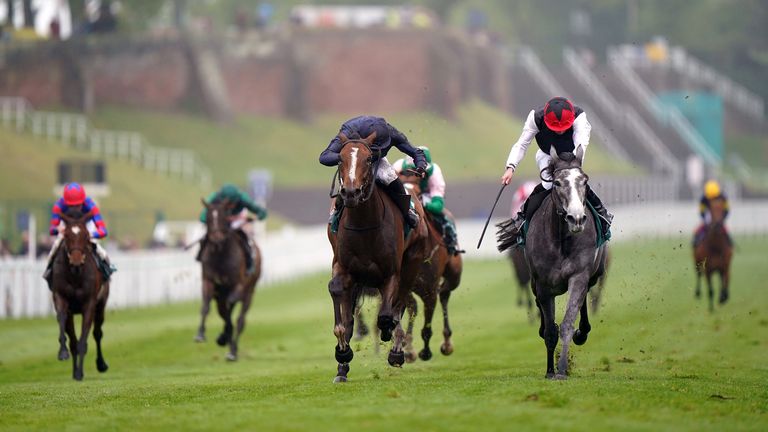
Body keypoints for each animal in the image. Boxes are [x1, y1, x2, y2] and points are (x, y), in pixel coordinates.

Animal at [50, 209, 109, 382]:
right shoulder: (61, 298)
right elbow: (62, 320)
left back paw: (100, 364)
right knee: (74, 340)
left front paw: (80, 372)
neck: (75, 275)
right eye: (66, 235)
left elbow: (84, 340)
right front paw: (63, 353)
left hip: (101, 304)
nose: (76, 261)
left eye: (86, 235)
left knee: (97, 333)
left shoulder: (89, 304)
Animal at [195, 199, 260, 362]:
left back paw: (233, 351)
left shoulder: (238, 285)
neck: (221, 255)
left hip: (249, 292)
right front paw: (201, 334)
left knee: (240, 320)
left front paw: (225, 338)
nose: (216, 238)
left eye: (224, 217)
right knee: (225, 313)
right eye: (209, 218)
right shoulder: (208, 281)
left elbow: (230, 310)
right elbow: (206, 306)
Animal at [328, 132, 428, 382]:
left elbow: (386, 315)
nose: (350, 192)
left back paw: (397, 350)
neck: (364, 224)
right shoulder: (344, 268)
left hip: (411, 264)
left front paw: (392, 343)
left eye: (368, 159)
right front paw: (342, 354)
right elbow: (343, 314)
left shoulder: (391, 273)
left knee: (400, 305)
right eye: (340, 159)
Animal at [400, 171, 464, 362]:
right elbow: (412, 307)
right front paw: (408, 349)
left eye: (417, 194)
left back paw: (447, 343)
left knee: (444, 294)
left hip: (454, 275)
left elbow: (427, 327)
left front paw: (426, 352)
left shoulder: (429, 290)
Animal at [500, 148, 608, 378]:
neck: (560, 239)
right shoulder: (542, 284)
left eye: (584, 181)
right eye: (557, 183)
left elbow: (567, 322)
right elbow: (550, 330)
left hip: (594, 274)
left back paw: (582, 333)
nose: (576, 218)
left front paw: (562, 369)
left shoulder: (579, 276)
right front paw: (550, 370)